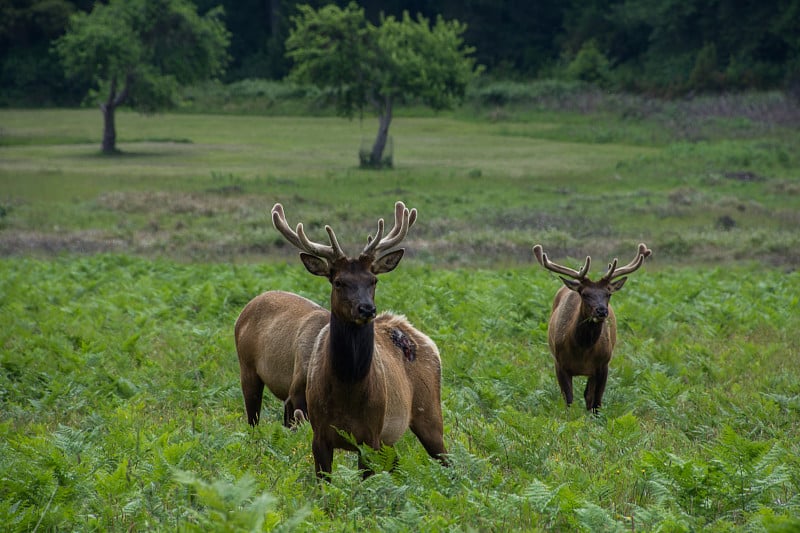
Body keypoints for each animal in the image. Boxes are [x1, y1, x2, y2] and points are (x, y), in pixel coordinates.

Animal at [238, 201, 450, 478]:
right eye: (338, 282)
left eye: (373, 280)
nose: (367, 309)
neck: (347, 390)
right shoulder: (316, 430)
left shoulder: (371, 436)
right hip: (248, 371)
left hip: (429, 412)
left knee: (445, 460)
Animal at [532, 241, 648, 412]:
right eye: (585, 294)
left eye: (608, 293)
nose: (602, 311)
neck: (582, 351)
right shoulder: (559, 364)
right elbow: (569, 401)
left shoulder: (603, 364)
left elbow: (596, 402)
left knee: (588, 396)